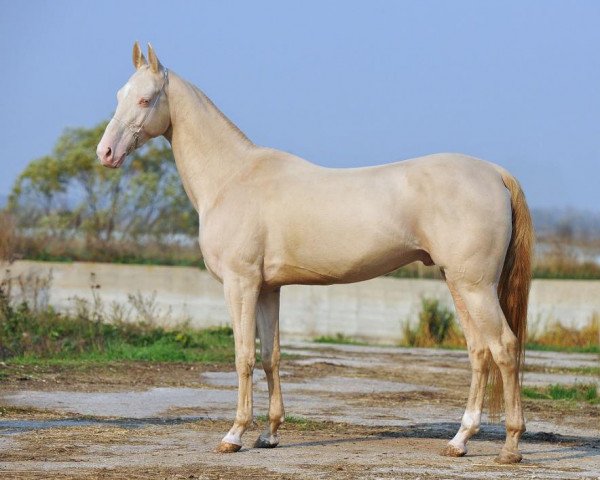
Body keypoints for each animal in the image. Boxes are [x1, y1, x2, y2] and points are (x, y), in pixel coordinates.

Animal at [98, 43, 536, 464]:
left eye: (145, 99)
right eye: (119, 95)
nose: (105, 153)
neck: (232, 178)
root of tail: (495, 173)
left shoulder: (241, 284)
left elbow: (243, 357)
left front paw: (234, 436)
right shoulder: (268, 288)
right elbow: (271, 356)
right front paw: (269, 435)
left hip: (475, 287)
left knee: (505, 348)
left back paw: (510, 447)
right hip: (459, 283)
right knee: (479, 352)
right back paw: (459, 441)